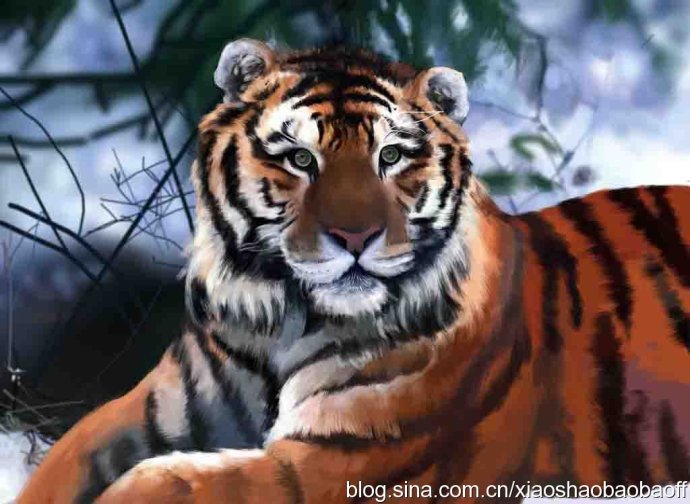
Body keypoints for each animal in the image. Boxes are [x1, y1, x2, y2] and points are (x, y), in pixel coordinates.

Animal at [19, 38, 690, 503]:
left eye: (390, 156)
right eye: (299, 158)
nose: (355, 237)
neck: (281, 319)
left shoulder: (339, 459)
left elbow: (166, 483)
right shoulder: (153, 407)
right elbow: (67, 460)